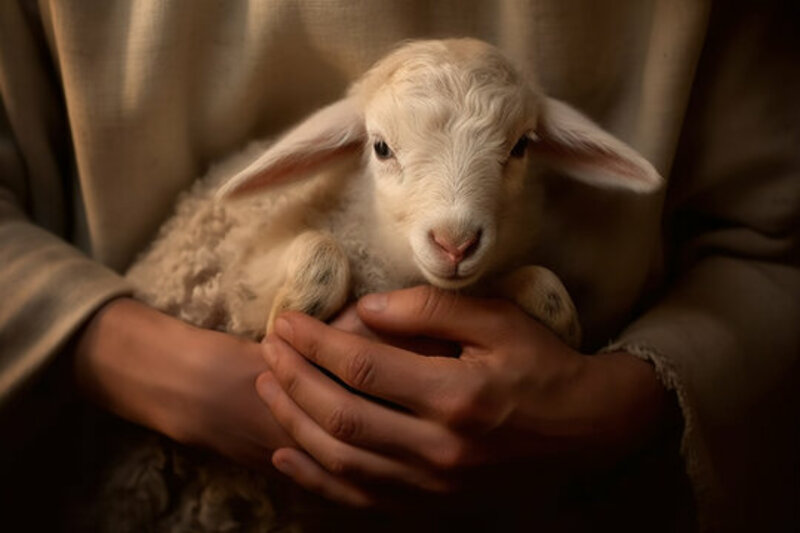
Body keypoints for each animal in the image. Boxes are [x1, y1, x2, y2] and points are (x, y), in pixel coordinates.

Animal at [126, 38, 661, 350]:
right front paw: (293, 310)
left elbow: (546, 287)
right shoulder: (243, 281)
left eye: (521, 146)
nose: (454, 243)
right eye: (381, 147)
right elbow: (319, 254)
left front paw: (559, 321)